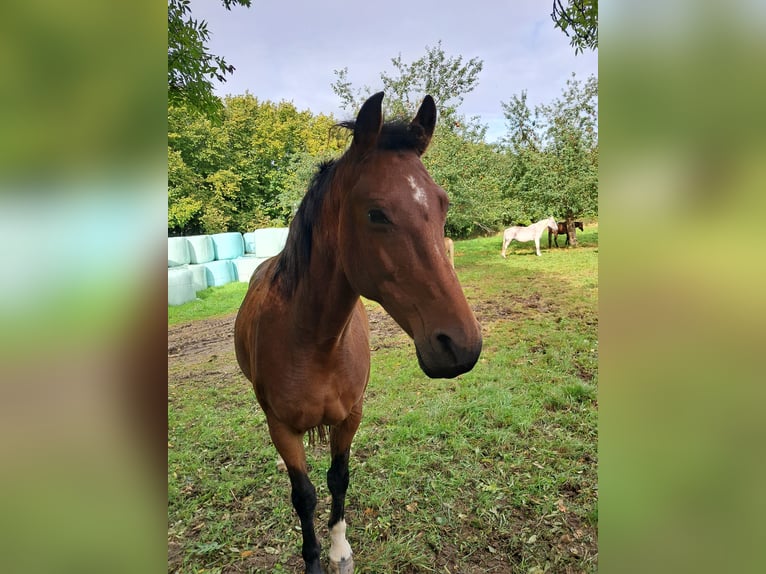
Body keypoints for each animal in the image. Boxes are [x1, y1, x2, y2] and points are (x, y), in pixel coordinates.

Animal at [234, 92, 482, 574]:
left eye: (443, 204)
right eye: (376, 213)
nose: (462, 346)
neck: (315, 342)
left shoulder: (350, 417)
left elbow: (338, 478)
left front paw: (339, 549)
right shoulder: (282, 428)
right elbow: (304, 495)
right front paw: (313, 560)